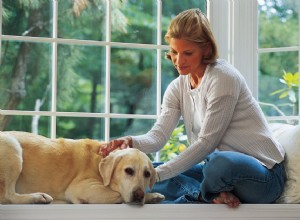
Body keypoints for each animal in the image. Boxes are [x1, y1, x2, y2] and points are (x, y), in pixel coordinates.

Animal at [0, 131, 164, 205]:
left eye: (147, 174)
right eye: (128, 171)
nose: (139, 194)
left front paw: (151, 196)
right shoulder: (82, 188)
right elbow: (119, 195)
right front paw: (151, 196)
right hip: (13, 146)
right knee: (8, 196)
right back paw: (38, 197)